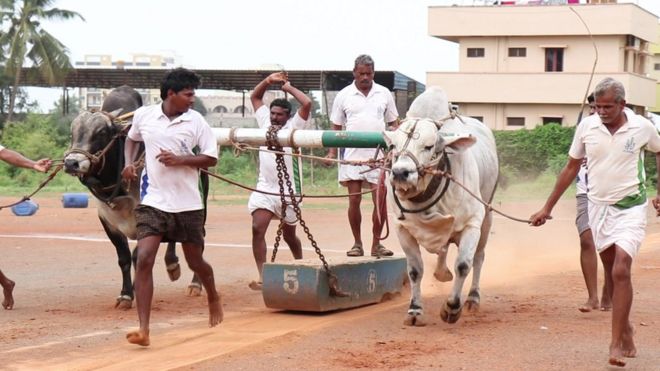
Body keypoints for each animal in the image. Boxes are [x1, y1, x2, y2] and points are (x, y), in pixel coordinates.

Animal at [62, 85, 206, 310]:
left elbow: (138, 255)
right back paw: (172, 264)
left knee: (197, 240)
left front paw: (138, 291)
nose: (71, 163)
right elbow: (123, 258)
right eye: (72, 131)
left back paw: (194, 282)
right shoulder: (107, 220)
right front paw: (125, 294)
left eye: (101, 132)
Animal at [384, 87, 498, 326]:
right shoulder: (403, 229)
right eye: (393, 146)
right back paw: (441, 272)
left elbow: (464, 264)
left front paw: (452, 308)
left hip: (487, 216)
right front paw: (415, 310)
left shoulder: (472, 223)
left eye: (428, 146)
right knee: (443, 249)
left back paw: (472, 298)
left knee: (479, 258)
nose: (400, 173)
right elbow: (415, 271)